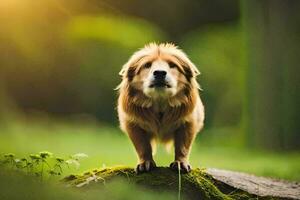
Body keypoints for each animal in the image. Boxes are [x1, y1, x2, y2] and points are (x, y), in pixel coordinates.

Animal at [116, 42, 205, 173]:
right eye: (147, 65)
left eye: (172, 65)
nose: (159, 73)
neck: (160, 103)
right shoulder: (133, 124)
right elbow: (143, 146)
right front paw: (145, 163)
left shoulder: (188, 123)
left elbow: (182, 147)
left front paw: (180, 163)